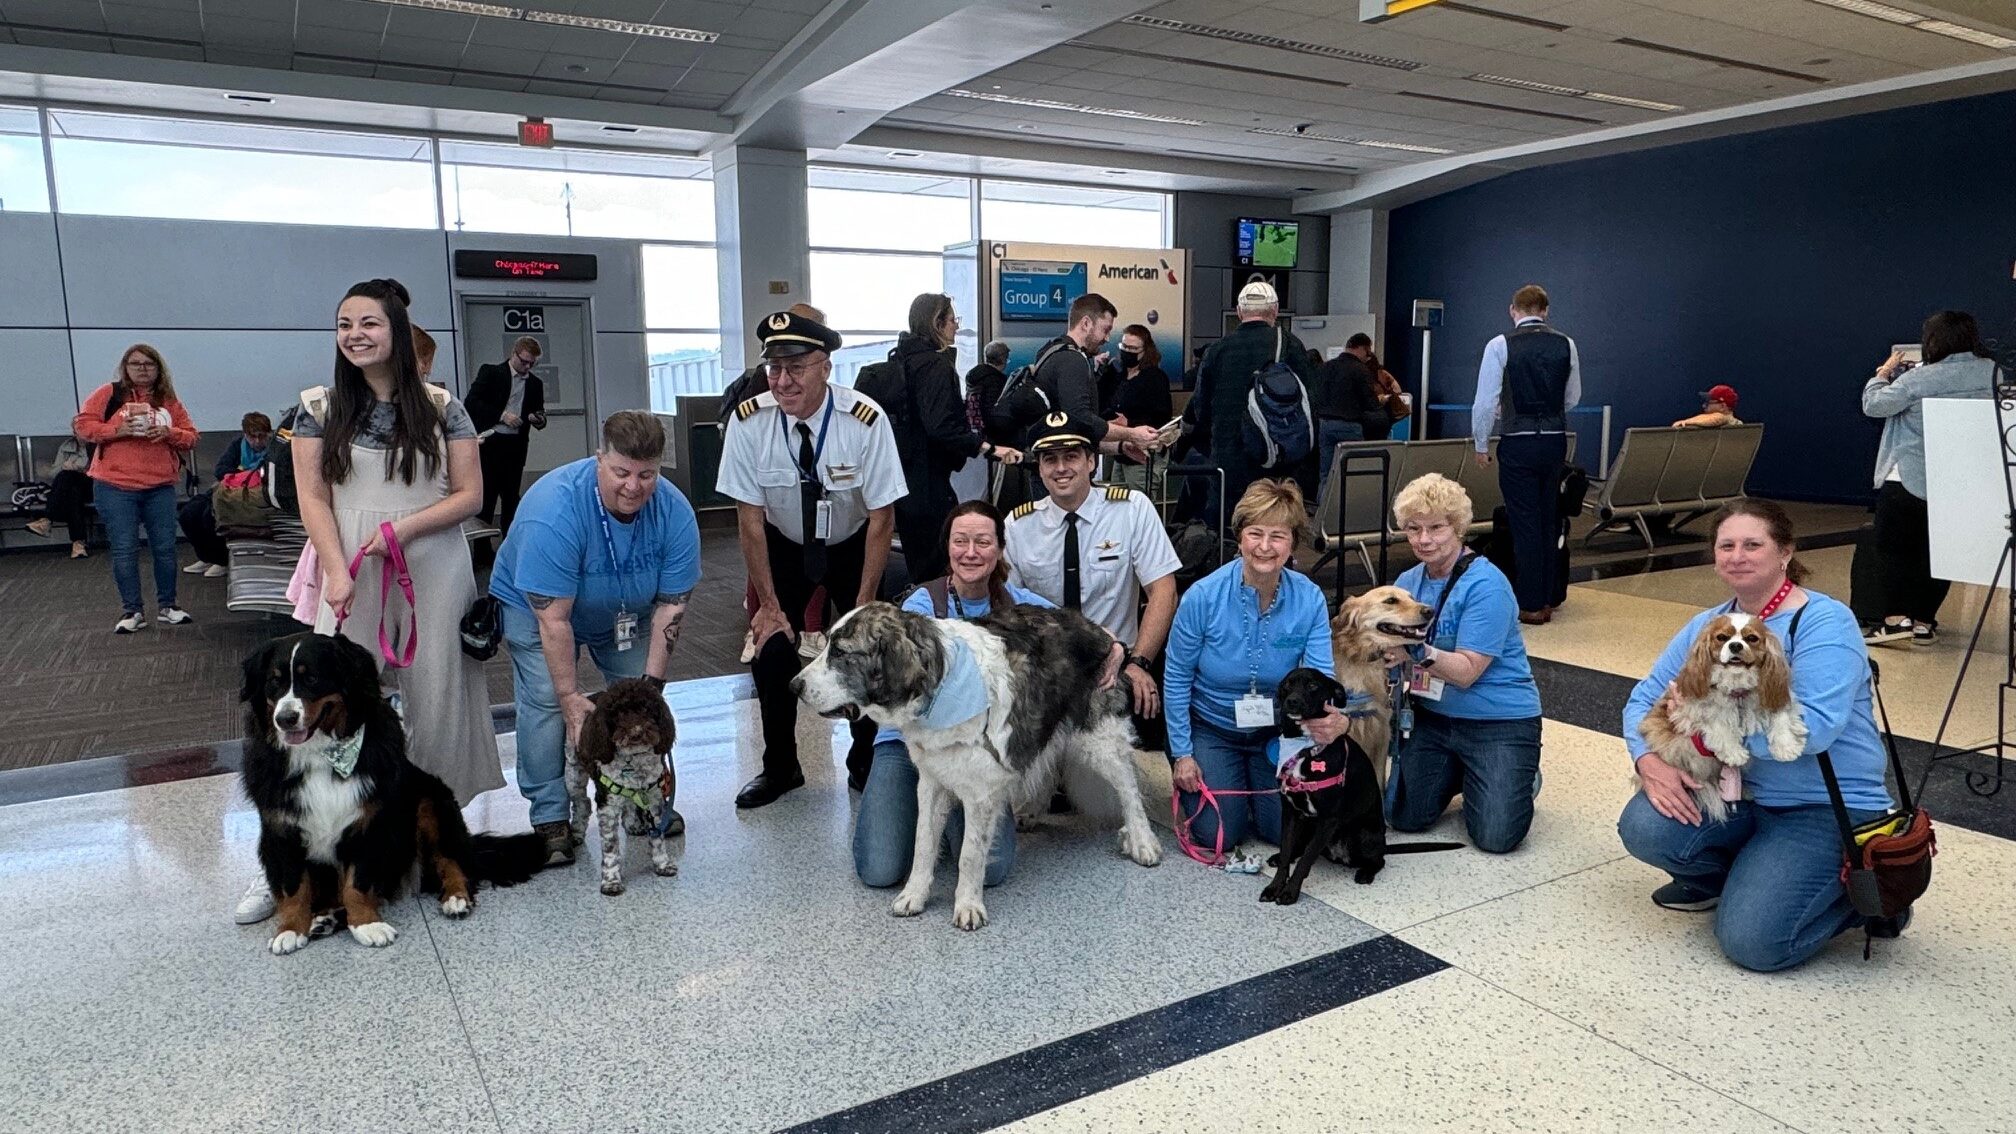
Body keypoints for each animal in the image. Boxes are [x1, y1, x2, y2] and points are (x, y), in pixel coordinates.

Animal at [239, 629, 548, 948]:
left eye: (311, 678)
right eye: (274, 682)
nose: (285, 719)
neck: (322, 756)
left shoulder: (368, 823)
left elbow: (357, 883)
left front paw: (367, 924)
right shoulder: (282, 828)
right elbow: (293, 886)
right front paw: (290, 929)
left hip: (430, 801)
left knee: (450, 860)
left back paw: (456, 898)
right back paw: (325, 919)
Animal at [790, 601, 1161, 928]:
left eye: (841, 653)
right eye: (827, 645)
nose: (794, 685)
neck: (941, 685)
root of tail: (1098, 629)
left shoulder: (979, 794)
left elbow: (970, 853)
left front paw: (968, 906)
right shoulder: (932, 782)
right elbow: (923, 842)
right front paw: (914, 895)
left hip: (1101, 741)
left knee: (1129, 789)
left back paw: (1143, 841)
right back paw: (1033, 812)